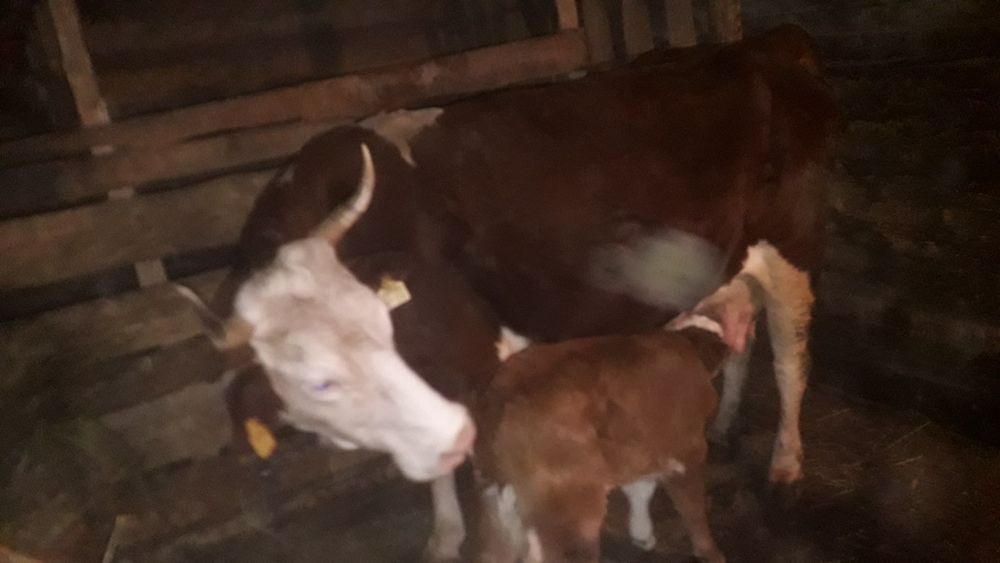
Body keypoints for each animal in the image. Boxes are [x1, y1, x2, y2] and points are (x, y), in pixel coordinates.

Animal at [471, 273, 763, 563]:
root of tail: (500, 399)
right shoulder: (688, 451)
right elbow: (693, 510)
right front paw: (711, 552)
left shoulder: (641, 444)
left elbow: (640, 487)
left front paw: (642, 534)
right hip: (575, 512)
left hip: (496, 509)